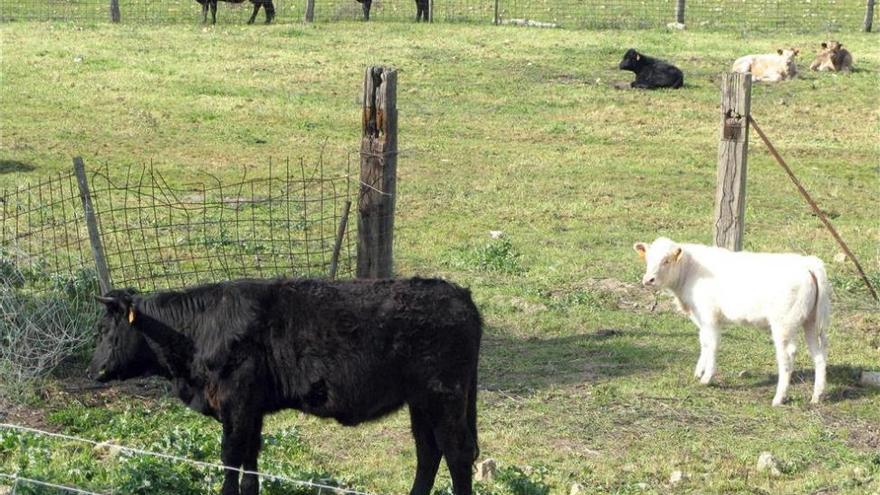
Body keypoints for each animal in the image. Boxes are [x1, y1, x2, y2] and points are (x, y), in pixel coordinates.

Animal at [89, 280, 482, 495]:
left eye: (105, 330)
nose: (94, 370)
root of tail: (460, 295)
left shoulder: (236, 401)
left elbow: (230, 457)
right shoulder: (251, 409)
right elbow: (250, 460)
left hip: (443, 396)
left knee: (457, 453)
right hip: (421, 402)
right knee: (428, 451)